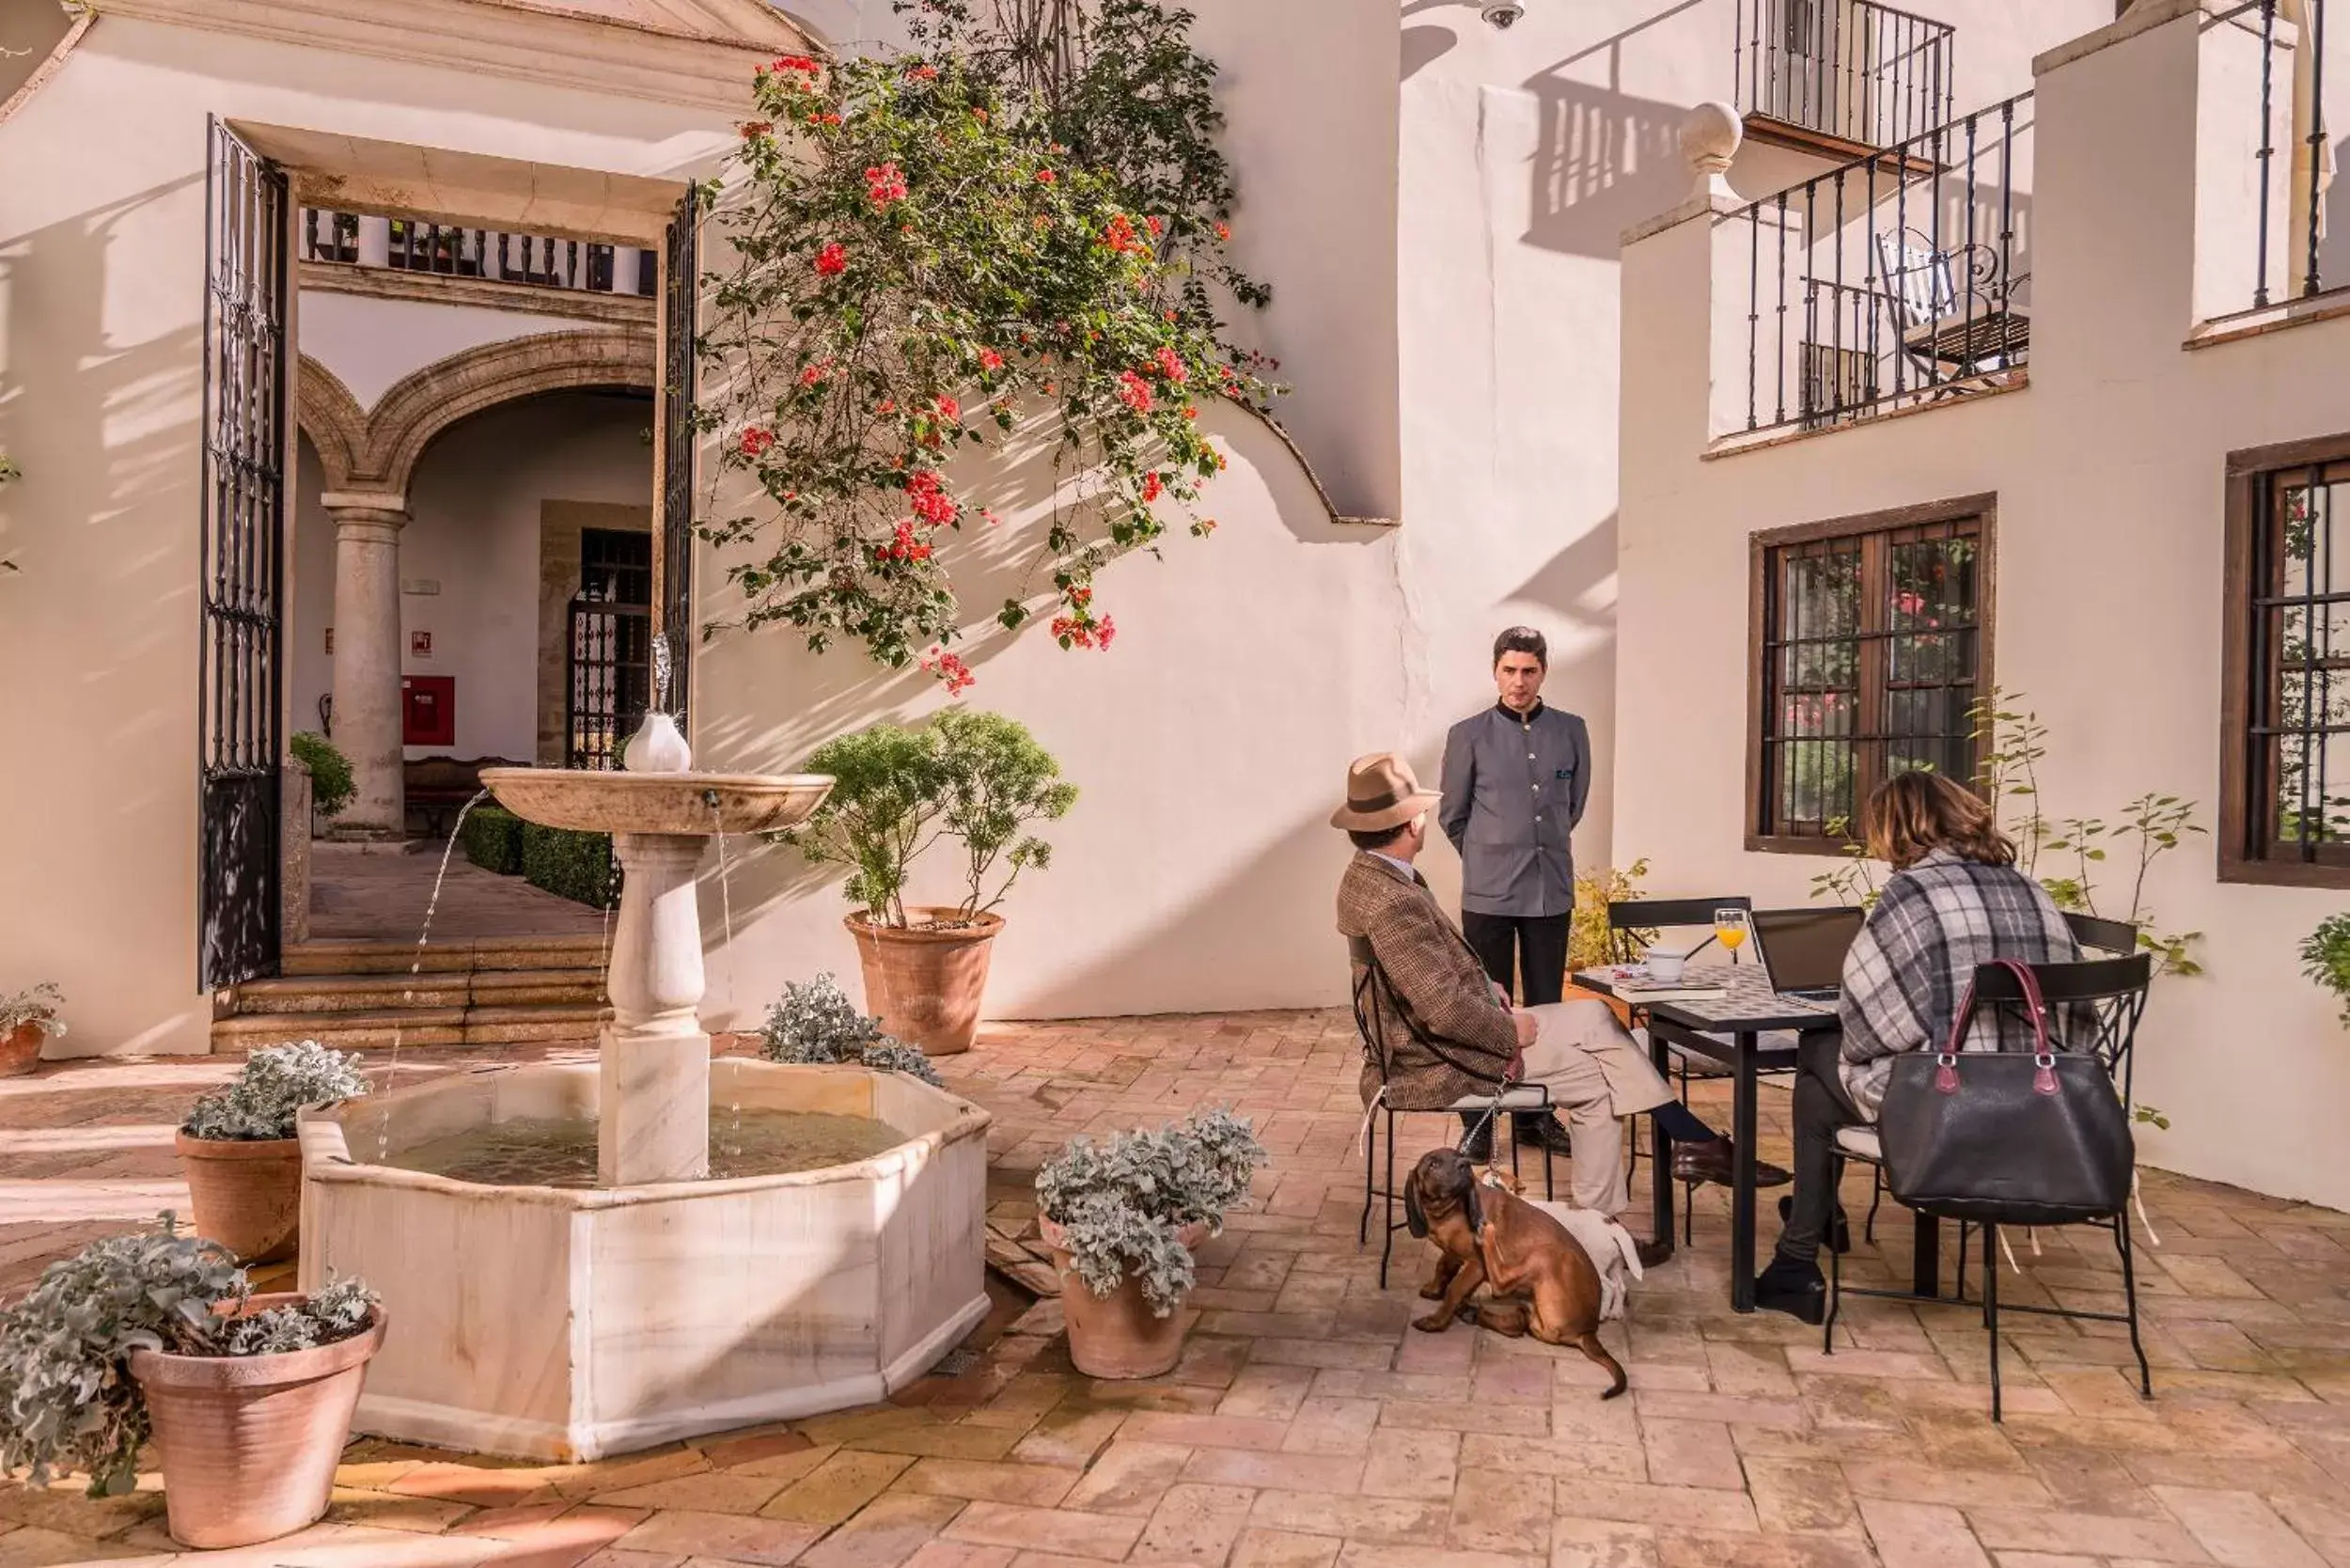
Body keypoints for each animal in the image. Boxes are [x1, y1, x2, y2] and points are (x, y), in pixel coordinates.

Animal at [1401, 1142, 1626, 1401]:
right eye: (1433, 1164)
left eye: (1459, 1156)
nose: (1464, 1164)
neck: (1449, 1210)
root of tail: (1589, 1331)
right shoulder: (1454, 1253)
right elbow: (1443, 1266)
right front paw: (1435, 1289)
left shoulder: (1476, 1264)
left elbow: (1455, 1289)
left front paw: (1436, 1320)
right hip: (1536, 1313)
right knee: (1519, 1323)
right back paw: (1475, 1313)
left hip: (1544, 1255)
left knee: (1501, 1286)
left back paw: (1487, 1238)